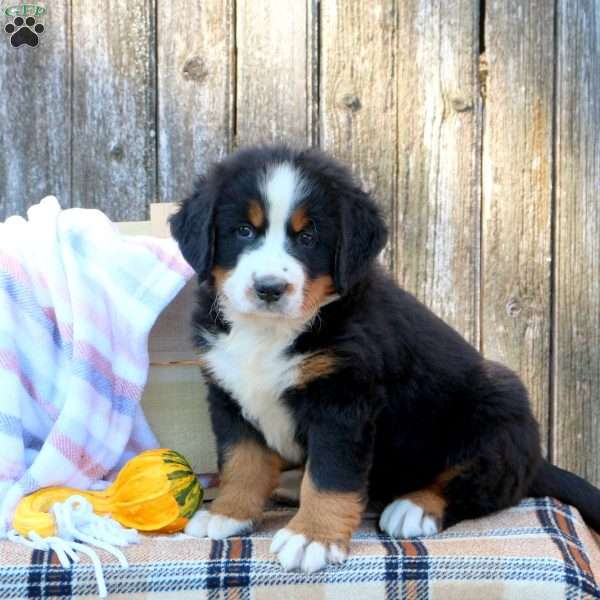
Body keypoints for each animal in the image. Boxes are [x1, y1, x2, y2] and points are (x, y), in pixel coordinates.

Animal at [170, 144, 600, 572]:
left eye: (308, 237)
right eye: (243, 231)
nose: (270, 288)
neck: (269, 332)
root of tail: (538, 457)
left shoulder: (343, 402)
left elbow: (330, 476)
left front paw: (312, 537)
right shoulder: (229, 394)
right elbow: (240, 460)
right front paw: (228, 513)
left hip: (497, 403)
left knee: (485, 484)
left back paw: (413, 507)